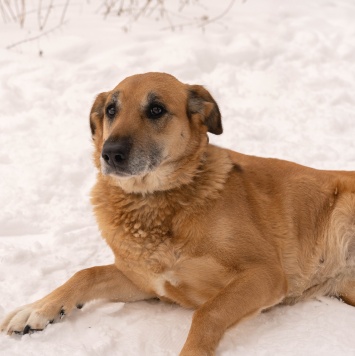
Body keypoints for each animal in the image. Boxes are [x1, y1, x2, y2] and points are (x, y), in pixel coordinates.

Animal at [0, 71, 355, 354]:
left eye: (156, 109)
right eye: (112, 110)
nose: (110, 153)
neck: (154, 202)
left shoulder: (264, 273)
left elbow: (208, 312)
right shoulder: (144, 282)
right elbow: (87, 274)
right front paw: (38, 309)